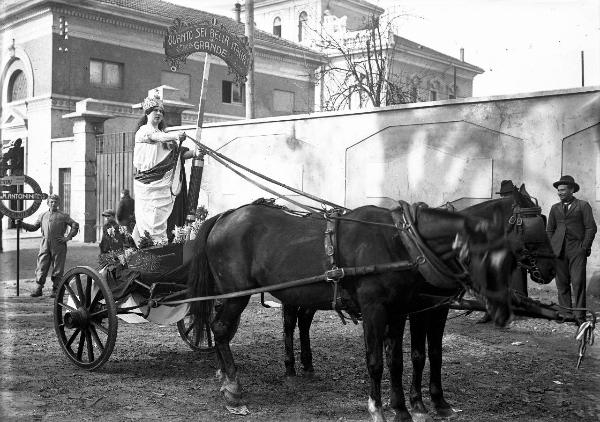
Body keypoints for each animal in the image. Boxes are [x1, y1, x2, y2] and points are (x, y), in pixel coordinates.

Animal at [189, 203, 516, 420]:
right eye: (485, 256)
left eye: (509, 256)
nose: (503, 313)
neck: (400, 242)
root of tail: (225, 216)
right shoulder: (375, 310)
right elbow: (376, 362)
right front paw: (377, 408)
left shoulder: (398, 311)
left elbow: (396, 361)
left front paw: (401, 409)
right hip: (236, 295)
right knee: (221, 330)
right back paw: (233, 388)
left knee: (226, 330)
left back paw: (225, 375)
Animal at [280, 186, 552, 420]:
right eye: (535, 226)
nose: (549, 269)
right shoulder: (419, 309)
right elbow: (418, 355)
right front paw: (418, 404)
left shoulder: (437, 308)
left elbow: (434, 353)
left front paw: (438, 402)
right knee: (290, 322)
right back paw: (291, 367)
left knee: (303, 322)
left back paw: (307, 365)